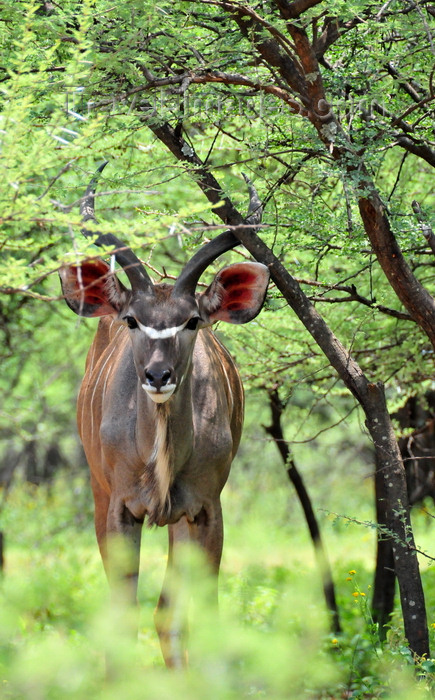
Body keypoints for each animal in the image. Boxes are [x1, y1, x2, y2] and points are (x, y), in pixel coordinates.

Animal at [58, 165, 270, 668]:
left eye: (192, 320)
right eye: (133, 320)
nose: (158, 375)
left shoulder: (205, 507)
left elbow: (194, 618)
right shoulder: (120, 508)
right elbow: (122, 617)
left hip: (178, 521)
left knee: (168, 615)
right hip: (98, 494)